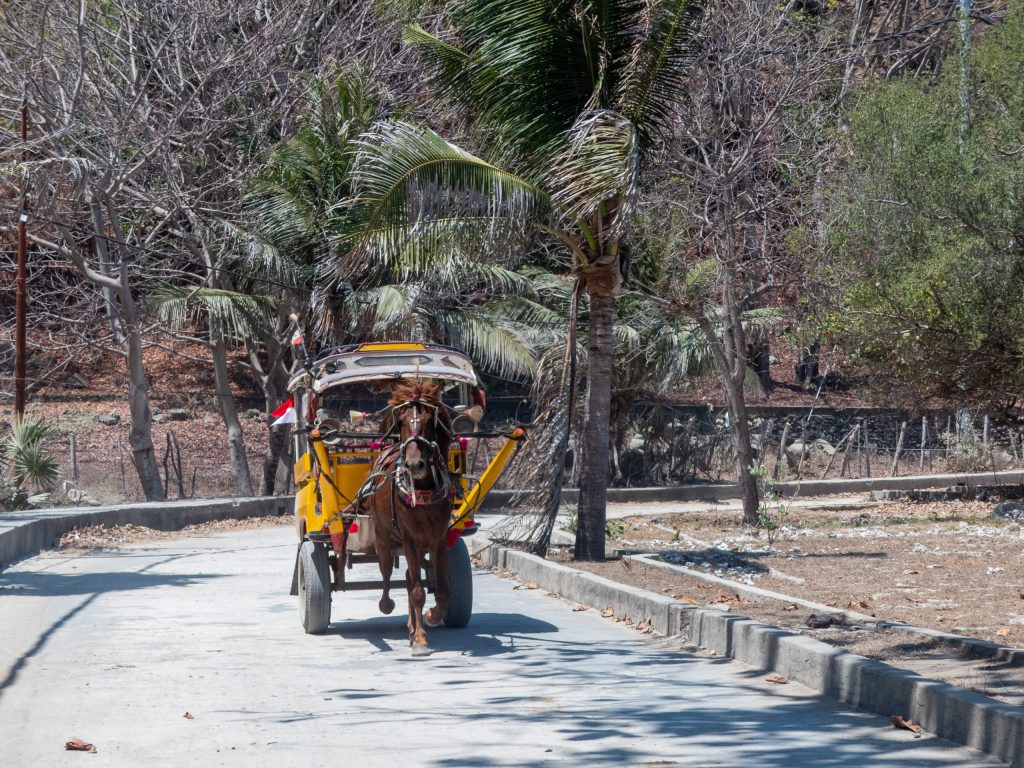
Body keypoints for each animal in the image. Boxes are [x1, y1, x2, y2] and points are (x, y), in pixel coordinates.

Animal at [364, 382, 452, 659]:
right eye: (401, 421)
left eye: (428, 421)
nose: (414, 465)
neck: (421, 491)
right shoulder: (411, 539)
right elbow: (417, 592)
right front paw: (421, 640)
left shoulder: (438, 540)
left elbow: (441, 591)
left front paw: (432, 617)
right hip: (383, 537)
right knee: (388, 574)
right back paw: (388, 605)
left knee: (408, 578)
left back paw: (413, 626)